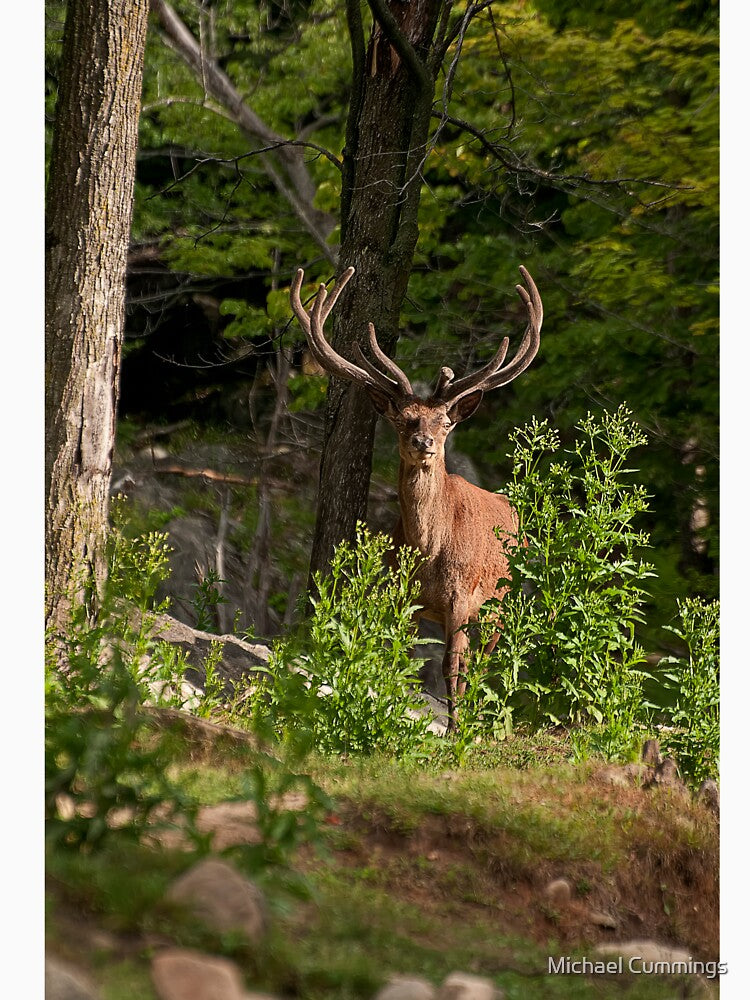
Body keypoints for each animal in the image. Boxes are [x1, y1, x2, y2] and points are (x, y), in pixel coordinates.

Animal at [290, 264, 542, 728]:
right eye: (405, 418)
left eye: (444, 422)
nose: (424, 441)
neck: (428, 551)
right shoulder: (401, 596)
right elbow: (400, 657)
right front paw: (389, 710)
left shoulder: (461, 595)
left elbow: (450, 667)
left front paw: (455, 728)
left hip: (502, 598)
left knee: (484, 659)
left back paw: (476, 718)